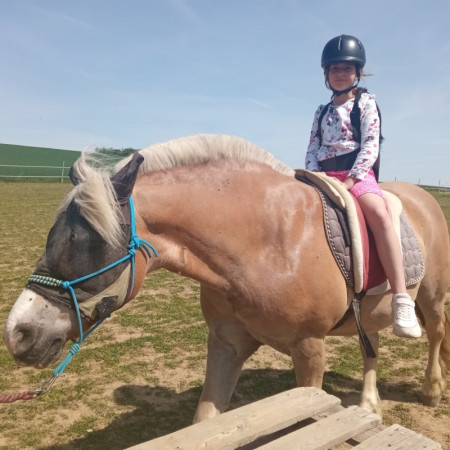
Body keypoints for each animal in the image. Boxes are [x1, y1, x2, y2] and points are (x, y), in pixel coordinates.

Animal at [3, 134, 450, 421]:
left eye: (91, 243)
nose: (18, 334)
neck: (268, 244)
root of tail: (423, 195)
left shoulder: (310, 350)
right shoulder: (226, 343)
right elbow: (205, 420)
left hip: (430, 295)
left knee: (436, 333)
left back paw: (431, 389)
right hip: (367, 311)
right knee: (370, 345)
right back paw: (370, 404)